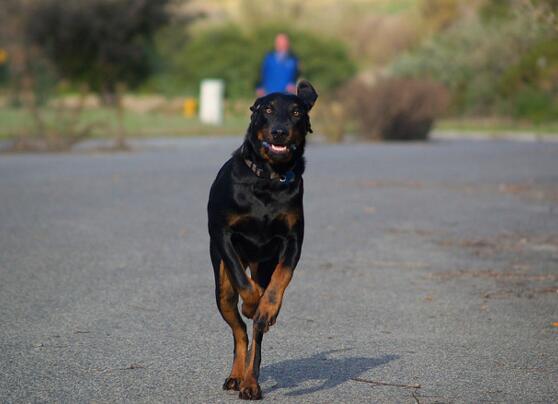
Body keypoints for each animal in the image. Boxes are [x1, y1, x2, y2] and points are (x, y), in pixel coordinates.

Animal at [207, 80, 318, 400]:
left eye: (296, 112)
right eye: (266, 109)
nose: (279, 131)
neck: (269, 179)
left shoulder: (293, 239)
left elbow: (281, 278)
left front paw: (267, 307)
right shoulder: (223, 234)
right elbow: (242, 281)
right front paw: (251, 303)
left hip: (262, 264)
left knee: (254, 336)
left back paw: (250, 382)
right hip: (221, 289)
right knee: (239, 331)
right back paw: (236, 375)